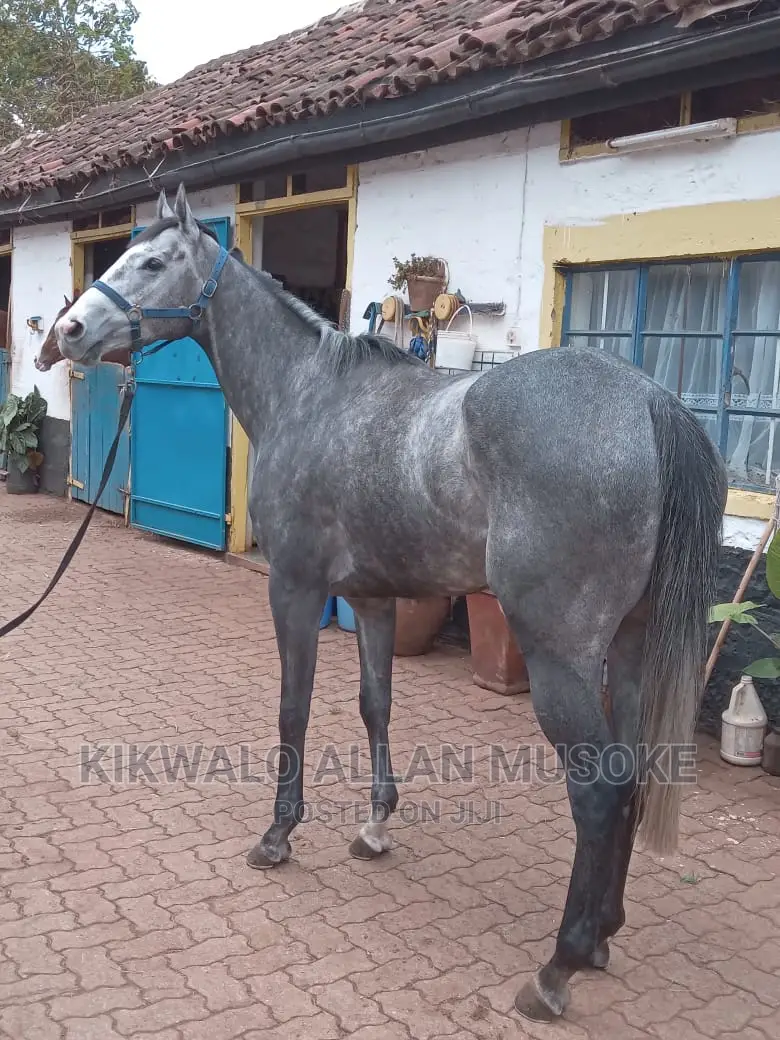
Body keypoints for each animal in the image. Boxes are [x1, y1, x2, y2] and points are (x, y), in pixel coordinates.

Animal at [53, 184, 727, 1023]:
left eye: (151, 262)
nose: (69, 331)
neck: (308, 395)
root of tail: (649, 402)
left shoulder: (295, 589)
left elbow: (294, 710)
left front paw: (278, 836)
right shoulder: (372, 602)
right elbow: (376, 706)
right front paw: (375, 827)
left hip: (561, 660)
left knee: (599, 790)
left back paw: (557, 969)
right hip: (630, 649)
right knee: (633, 772)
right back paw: (603, 934)